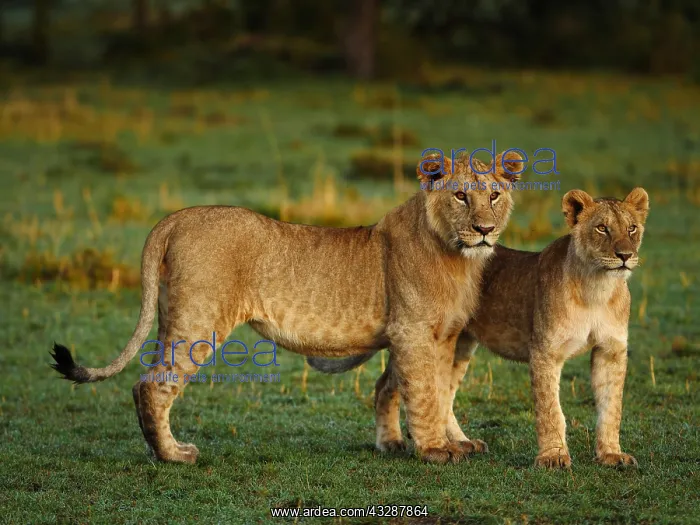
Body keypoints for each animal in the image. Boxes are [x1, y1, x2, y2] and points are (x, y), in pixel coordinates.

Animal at [50, 150, 524, 465]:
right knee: (151, 384)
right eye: (460, 196)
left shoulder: (446, 336)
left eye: (494, 196)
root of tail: (175, 217)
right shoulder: (412, 332)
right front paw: (434, 451)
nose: (484, 229)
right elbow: (424, 394)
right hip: (199, 320)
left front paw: (456, 442)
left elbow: (442, 393)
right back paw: (174, 455)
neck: (457, 256)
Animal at [308, 188, 649, 468]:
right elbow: (550, 410)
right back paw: (392, 443)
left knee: (441, 393)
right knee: (389, 385)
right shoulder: (545, 351)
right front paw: (553, 457)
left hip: (458, 342)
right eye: (602, 228)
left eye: (631, 228)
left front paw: (611, 455)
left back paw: (461, 443)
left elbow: (611, 408)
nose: (625, 255)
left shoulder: (611, 350)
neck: (598, 287)